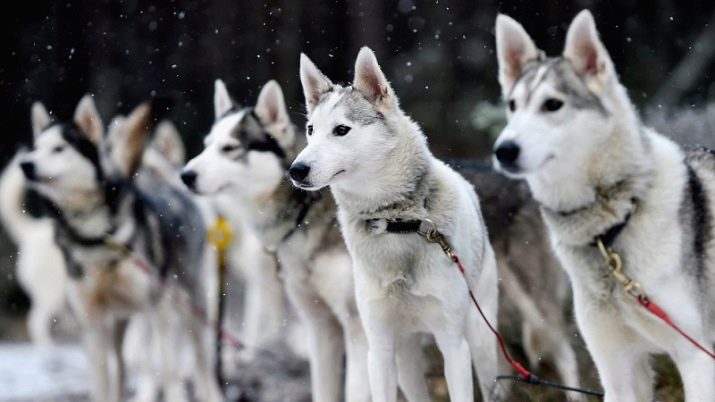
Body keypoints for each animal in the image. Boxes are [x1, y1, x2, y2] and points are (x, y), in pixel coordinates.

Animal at [20, 97, 221, 402]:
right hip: (119, 322)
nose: (26, 164)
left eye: (59, 148)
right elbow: (102, 379)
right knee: (121, 367)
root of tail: (167, 185)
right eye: (35, 148)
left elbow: (169, 370)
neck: (98, 239)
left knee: (201, 360)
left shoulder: (157, 307)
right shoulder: (92, 321)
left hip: (190, 303)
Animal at [182, 79, 386, 402]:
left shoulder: (357, 328)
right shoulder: (319, 323)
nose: (185, 175)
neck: (306, 207)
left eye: (229, 148)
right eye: (207, 146)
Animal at [294, 48, 500, 402]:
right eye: (310, 130)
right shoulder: (379, 349)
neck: (396, 222)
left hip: (482, 341)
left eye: (341, 130)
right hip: (405, 358)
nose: (296, 169)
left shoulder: (454, 346)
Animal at [496, 11, 712, 400]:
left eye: (553, 104)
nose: (503, 150)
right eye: (513, 106)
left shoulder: (696, 359)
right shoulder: (617, 371)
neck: (613, 228)